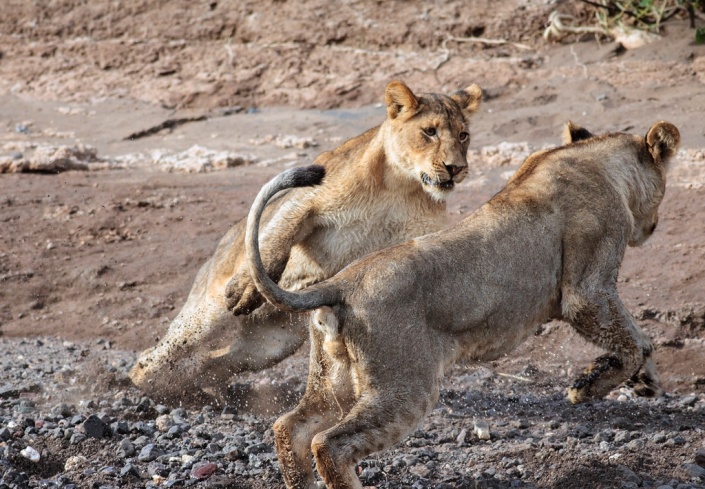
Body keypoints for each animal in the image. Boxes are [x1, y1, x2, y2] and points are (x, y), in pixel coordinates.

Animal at [128, 81, 483, 401]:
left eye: (463, 135)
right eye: (430, 132)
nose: (456, 168)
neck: (402, 188)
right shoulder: (305, 198)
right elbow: (279, 235)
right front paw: (247, 288)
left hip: (268, 346)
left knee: (215, 361)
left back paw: (208, 389)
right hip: (208, 313)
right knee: (155, 356)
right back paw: (147, 383)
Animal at [234, 121, 680, 488]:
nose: (655, 226)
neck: (600, 164)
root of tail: (341, 282)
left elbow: (635, 336)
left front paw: (643, 381)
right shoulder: (586, 290)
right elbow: (631, 338)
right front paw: (590, 387)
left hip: (338, 378)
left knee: (290, 427)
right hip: (405, 385)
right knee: (329, 444)